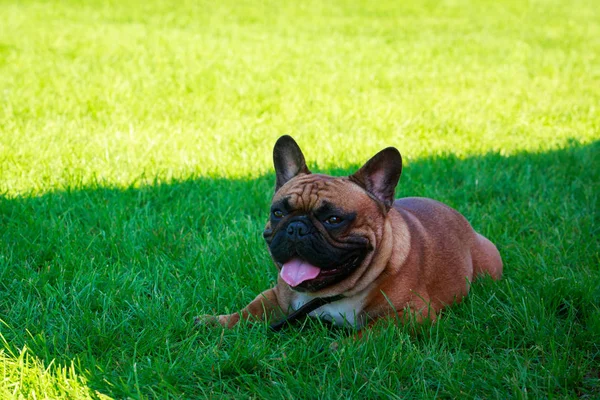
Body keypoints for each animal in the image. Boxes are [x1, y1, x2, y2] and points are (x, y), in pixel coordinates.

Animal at [200, 136, 502, 330]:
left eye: (334, 219)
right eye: (278, 213)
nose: (297, 227)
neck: (330, 293)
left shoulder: (413, 314)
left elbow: (375, 331)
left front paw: (341, 348)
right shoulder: (277, 295)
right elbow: (251, 309)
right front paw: (218, 321)